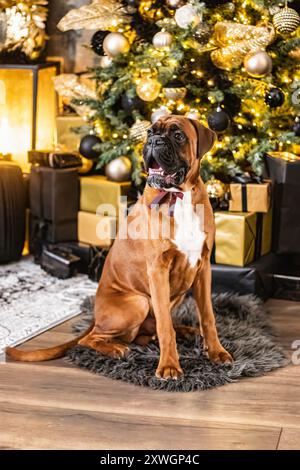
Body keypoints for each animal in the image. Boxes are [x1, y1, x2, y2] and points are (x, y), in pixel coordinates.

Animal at [6, 116, 232, 378]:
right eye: (150, 133)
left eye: (178, 136)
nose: (154, 141)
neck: (179, 196)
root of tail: (94, 318)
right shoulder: (158, 270)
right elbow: (165, 326)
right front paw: (169, 365)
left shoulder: (203, 267)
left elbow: (207, 316)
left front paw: (216, 352)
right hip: (138, 302)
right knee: (92, 339)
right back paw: (117, 349)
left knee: (147, 331)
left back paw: (183, 332)